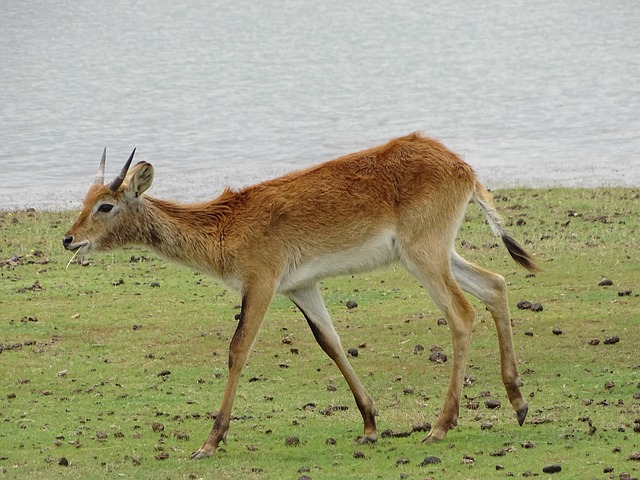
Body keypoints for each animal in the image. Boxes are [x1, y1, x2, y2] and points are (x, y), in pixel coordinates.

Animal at [63, 132, 536, 458]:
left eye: (106, 205)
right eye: (85, 198)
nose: (69, 239)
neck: (224, 225)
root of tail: (461, 165)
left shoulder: (261, 283)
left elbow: (238, 349)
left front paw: (209, 442)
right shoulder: (300, 287)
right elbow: (330, 342)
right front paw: (369, 424)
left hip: (423, 254)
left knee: (461, 312)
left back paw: (441, 425)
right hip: (438, 252)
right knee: (496, 284)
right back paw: (517, 404)